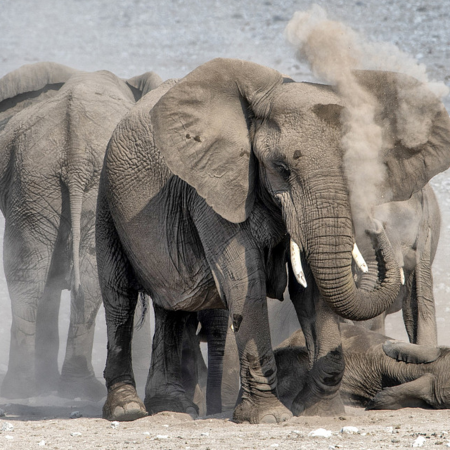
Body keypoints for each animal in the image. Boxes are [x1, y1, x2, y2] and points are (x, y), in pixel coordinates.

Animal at [0, 61, 162, 400]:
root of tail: (73, 155)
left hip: (33, 185)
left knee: (27, 276)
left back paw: (23, 388)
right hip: (47, 183)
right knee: (77, 278)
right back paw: (75, 388)